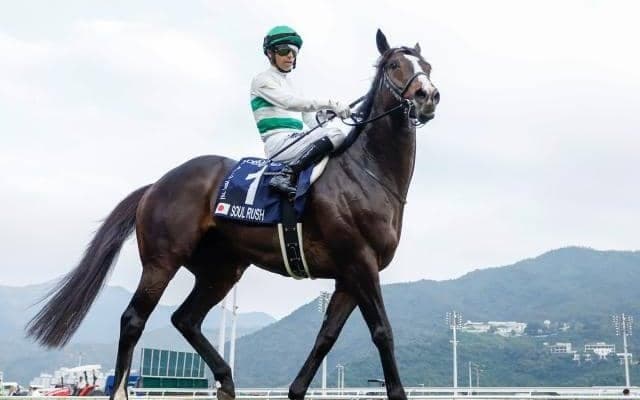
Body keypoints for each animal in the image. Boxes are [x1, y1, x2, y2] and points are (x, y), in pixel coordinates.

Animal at [26, 29, 439, 400]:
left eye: (428, 66)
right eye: (396, 65)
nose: (428, 96)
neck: (368, 170)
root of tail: (157, 184)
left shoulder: (349, 274)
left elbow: (325, 337)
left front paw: (295, 391)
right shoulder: (359, 261)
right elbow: (382, 331)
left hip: (221, 269)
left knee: (185, 318)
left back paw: (225, 380)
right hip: (162, 260)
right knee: (133, 319)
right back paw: (123, 391)